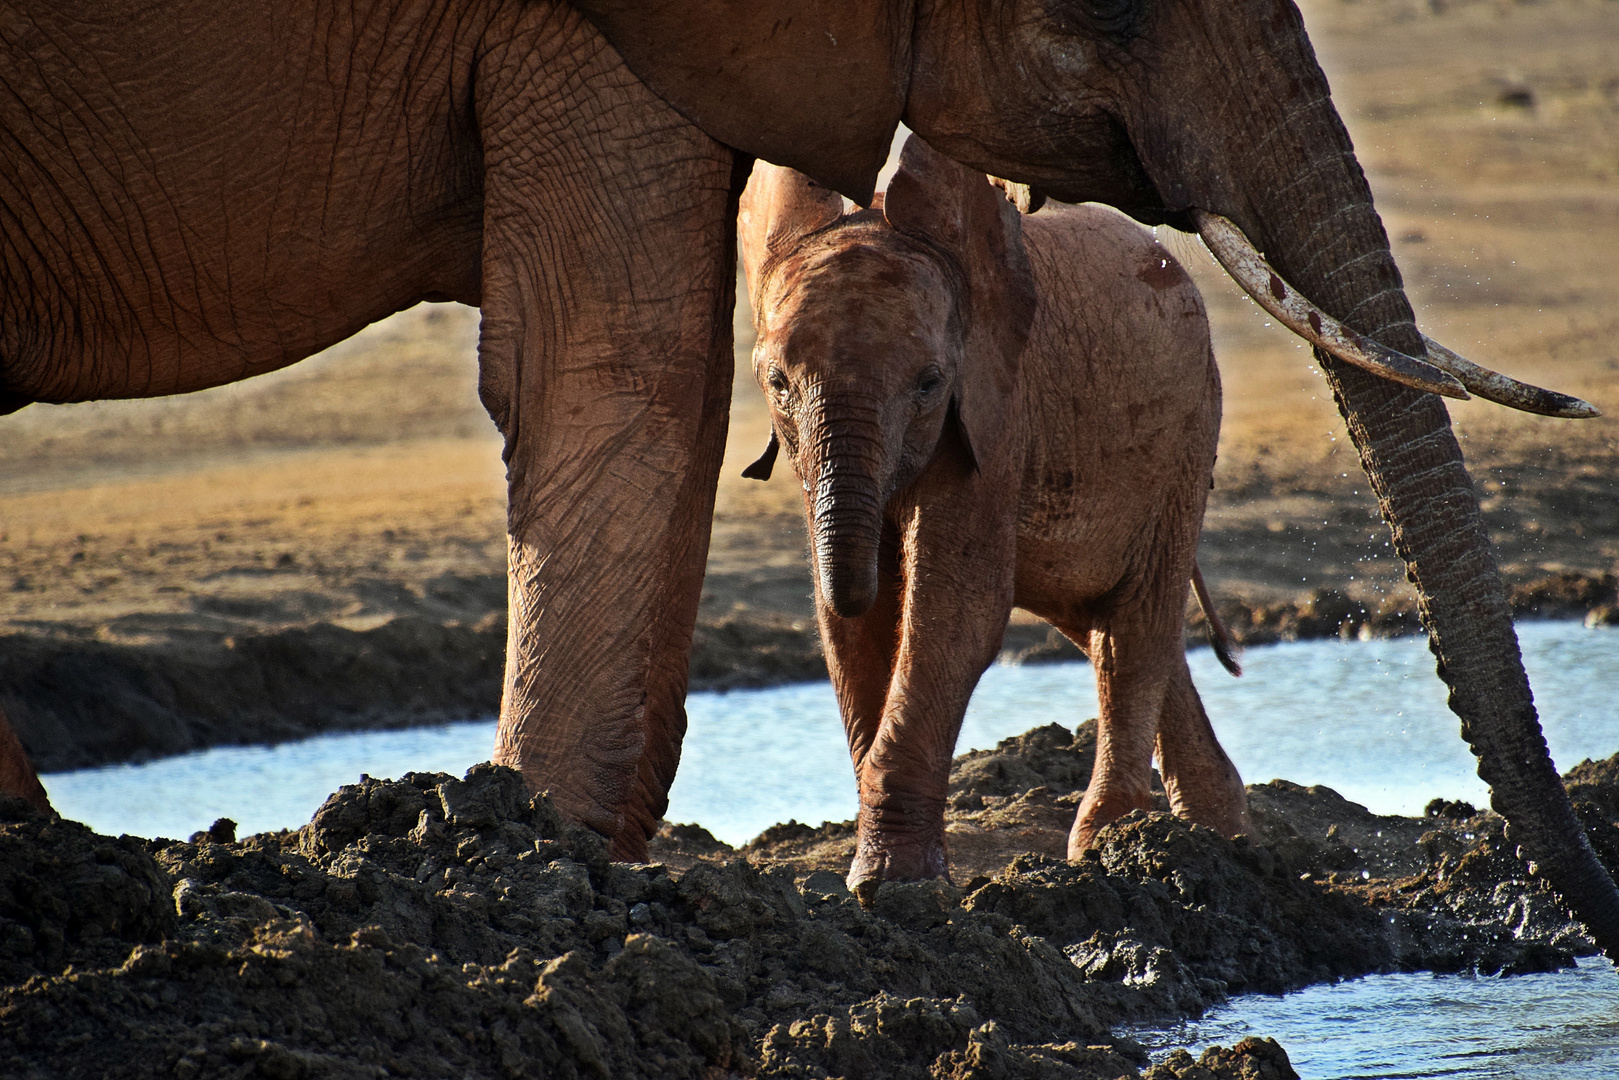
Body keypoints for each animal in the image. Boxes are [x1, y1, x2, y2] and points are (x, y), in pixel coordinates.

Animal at [741, 135, 1243, 893]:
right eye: (775, 382)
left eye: (929, 384)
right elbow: (851, 628)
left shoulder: (993, 407)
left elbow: (957, 612)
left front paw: (892, 885)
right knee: (1096, 617)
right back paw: (1215, 831)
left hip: (1185, 429)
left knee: (1132, 621)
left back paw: (1112, 842)